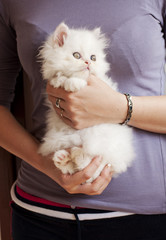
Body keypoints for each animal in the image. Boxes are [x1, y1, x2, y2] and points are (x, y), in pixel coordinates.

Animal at [38, 22, 134, 182]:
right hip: (58, 139)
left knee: (94, 166)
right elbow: (59, 77)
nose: (88, 62)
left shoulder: (102, 85)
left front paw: (73, 84)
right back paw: (63, 158)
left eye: (93, 58)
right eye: (76, 55)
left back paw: (78, 155)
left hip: (100, 140)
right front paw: (64, 81)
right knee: (77, 169)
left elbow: (78, 80)